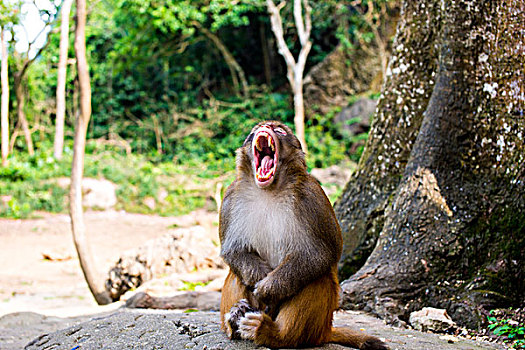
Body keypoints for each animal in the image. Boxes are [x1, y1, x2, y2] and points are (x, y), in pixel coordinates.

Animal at [219, 121, 386, 350]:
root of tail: (325, 331)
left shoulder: (312, 197)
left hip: (318, 324)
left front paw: (268, 288)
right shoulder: (231, 197)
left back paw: (272, 333)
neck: (269, 190)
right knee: (236, 274)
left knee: (317, 278)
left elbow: (319, 255)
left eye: (279, 130)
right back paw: (235, 319)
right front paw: (258, 277)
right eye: (255, 130)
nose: (266, 125)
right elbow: (233, 250)